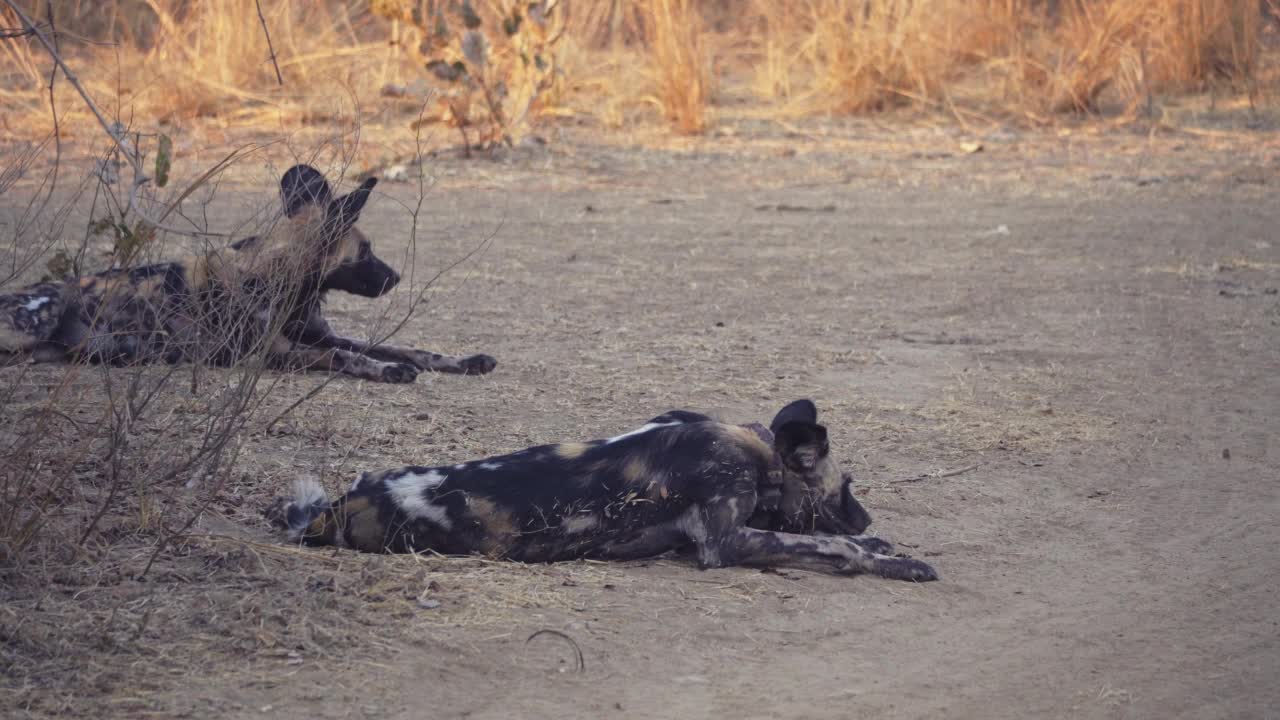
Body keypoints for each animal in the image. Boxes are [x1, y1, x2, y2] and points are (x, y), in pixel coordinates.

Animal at [0, 163, 496, 381]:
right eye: (366, 252)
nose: (395, 277)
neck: (285, 279)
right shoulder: (277, 350)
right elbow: (346, 357)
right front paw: (385, 369)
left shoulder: (321, 333)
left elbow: (407, 347)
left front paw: (463, 361)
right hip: (37, 317)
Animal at [270, 399, 942, 579]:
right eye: (847, 488)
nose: (866, 516)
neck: (758, 458)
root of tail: (337, 505)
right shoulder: (722, 544)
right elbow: (831, 546)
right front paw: (891, 559)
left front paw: (882, 546)